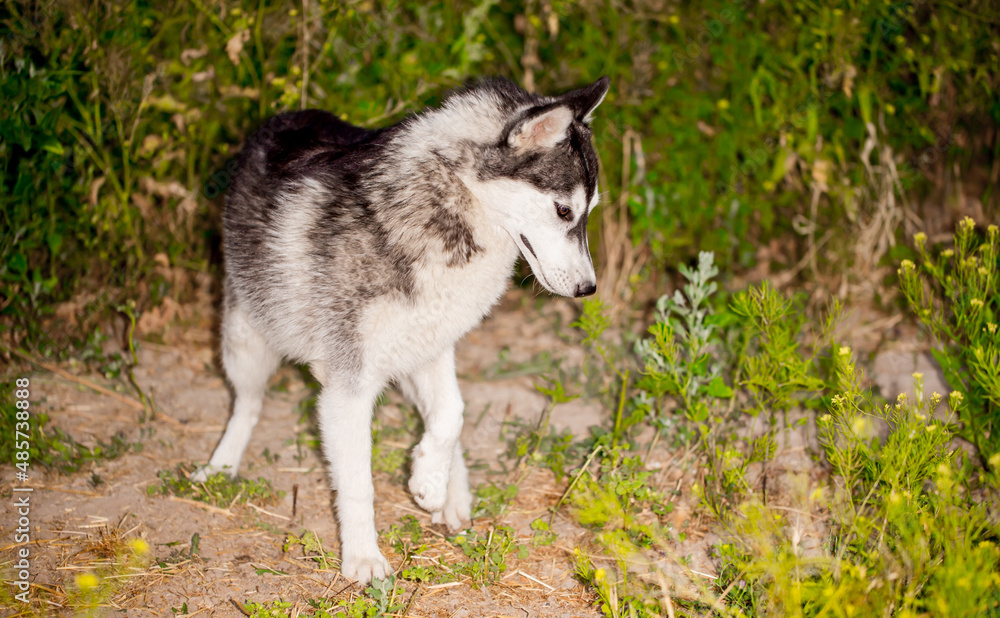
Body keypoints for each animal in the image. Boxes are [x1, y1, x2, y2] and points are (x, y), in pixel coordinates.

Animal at [195, 74, 608, 580]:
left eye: (588, 210)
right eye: (564, 211)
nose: (589, 289)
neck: (440, 210)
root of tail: (287, 115)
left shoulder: (432, 349)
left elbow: (452, 414)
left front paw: (430, 479)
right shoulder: (348, 387)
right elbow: (358, 483)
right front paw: (363, 557)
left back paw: (452, 490)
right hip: (246, 342)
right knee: (248, 406)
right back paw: (221, 465)